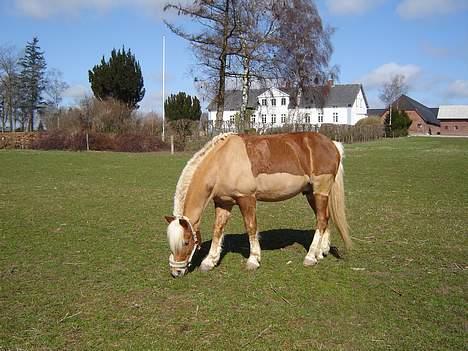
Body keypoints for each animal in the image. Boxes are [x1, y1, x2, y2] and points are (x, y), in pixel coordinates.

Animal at [165, 132, 352, 278]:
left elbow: (251, 227)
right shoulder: (223, 202)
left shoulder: (246, 199)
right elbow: (217, 230)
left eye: (186, 242)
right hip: (311, 194)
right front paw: (209, 262)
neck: (223, 161)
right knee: (324, 218)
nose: (176, 272)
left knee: (321, 220)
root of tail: (332, 144)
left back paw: (311, 257)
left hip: (321, 192)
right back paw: (321, 252)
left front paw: (253, 260)